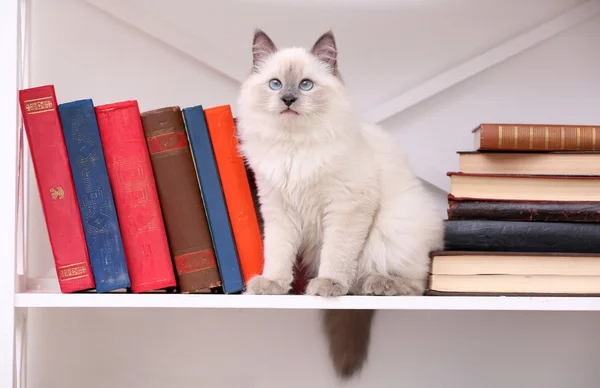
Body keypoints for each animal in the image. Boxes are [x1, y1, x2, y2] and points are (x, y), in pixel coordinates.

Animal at [234, 29, 446, 378]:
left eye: (306, 85)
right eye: (275, 84)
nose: (288, 100)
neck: (293, 146)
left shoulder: (346, 206)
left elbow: (337, 254)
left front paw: (329, 284)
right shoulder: (278, 210)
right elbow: (277, 255)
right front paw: (273, 285)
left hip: (392, 232)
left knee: (416, 284)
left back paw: (375, 284)